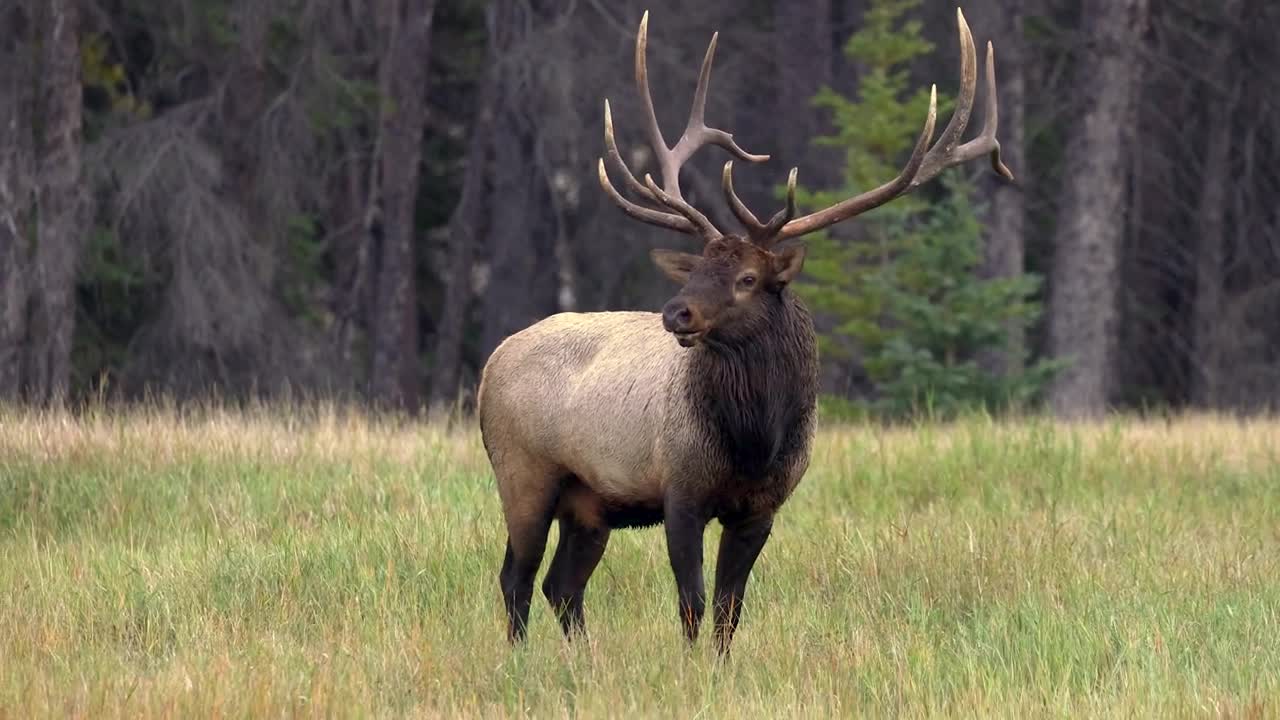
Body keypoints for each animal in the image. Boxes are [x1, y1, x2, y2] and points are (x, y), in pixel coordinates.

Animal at [476, 8, 1013, 653]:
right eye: (697, 268)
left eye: (749, 278)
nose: (675, 314)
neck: (755, 441)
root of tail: (490, 363)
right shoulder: (680, 490)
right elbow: (692, 603)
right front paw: (688, 667)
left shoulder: (762, 508)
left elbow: (729, 609)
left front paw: (719, 664)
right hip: (523, 472)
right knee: (516, 577)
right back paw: (520, 658)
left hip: (590, 501)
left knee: (562, 585)